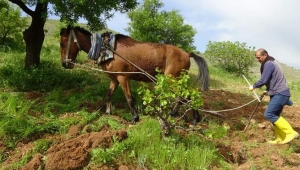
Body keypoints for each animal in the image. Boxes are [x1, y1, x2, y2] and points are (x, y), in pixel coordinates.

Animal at [58, 25, 209, 123]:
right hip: (177, 80)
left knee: (185, 96)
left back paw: (186, 116)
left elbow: (130, 99)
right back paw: (186, 116)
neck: (106, 49)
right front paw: (108, 113)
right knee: (187, 95)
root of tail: (186, 53)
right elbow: (108, 95)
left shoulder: (123, 78)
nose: (65, 64)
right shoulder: (115, 79)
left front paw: (135, 118)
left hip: (172, 79)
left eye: (62, 43)